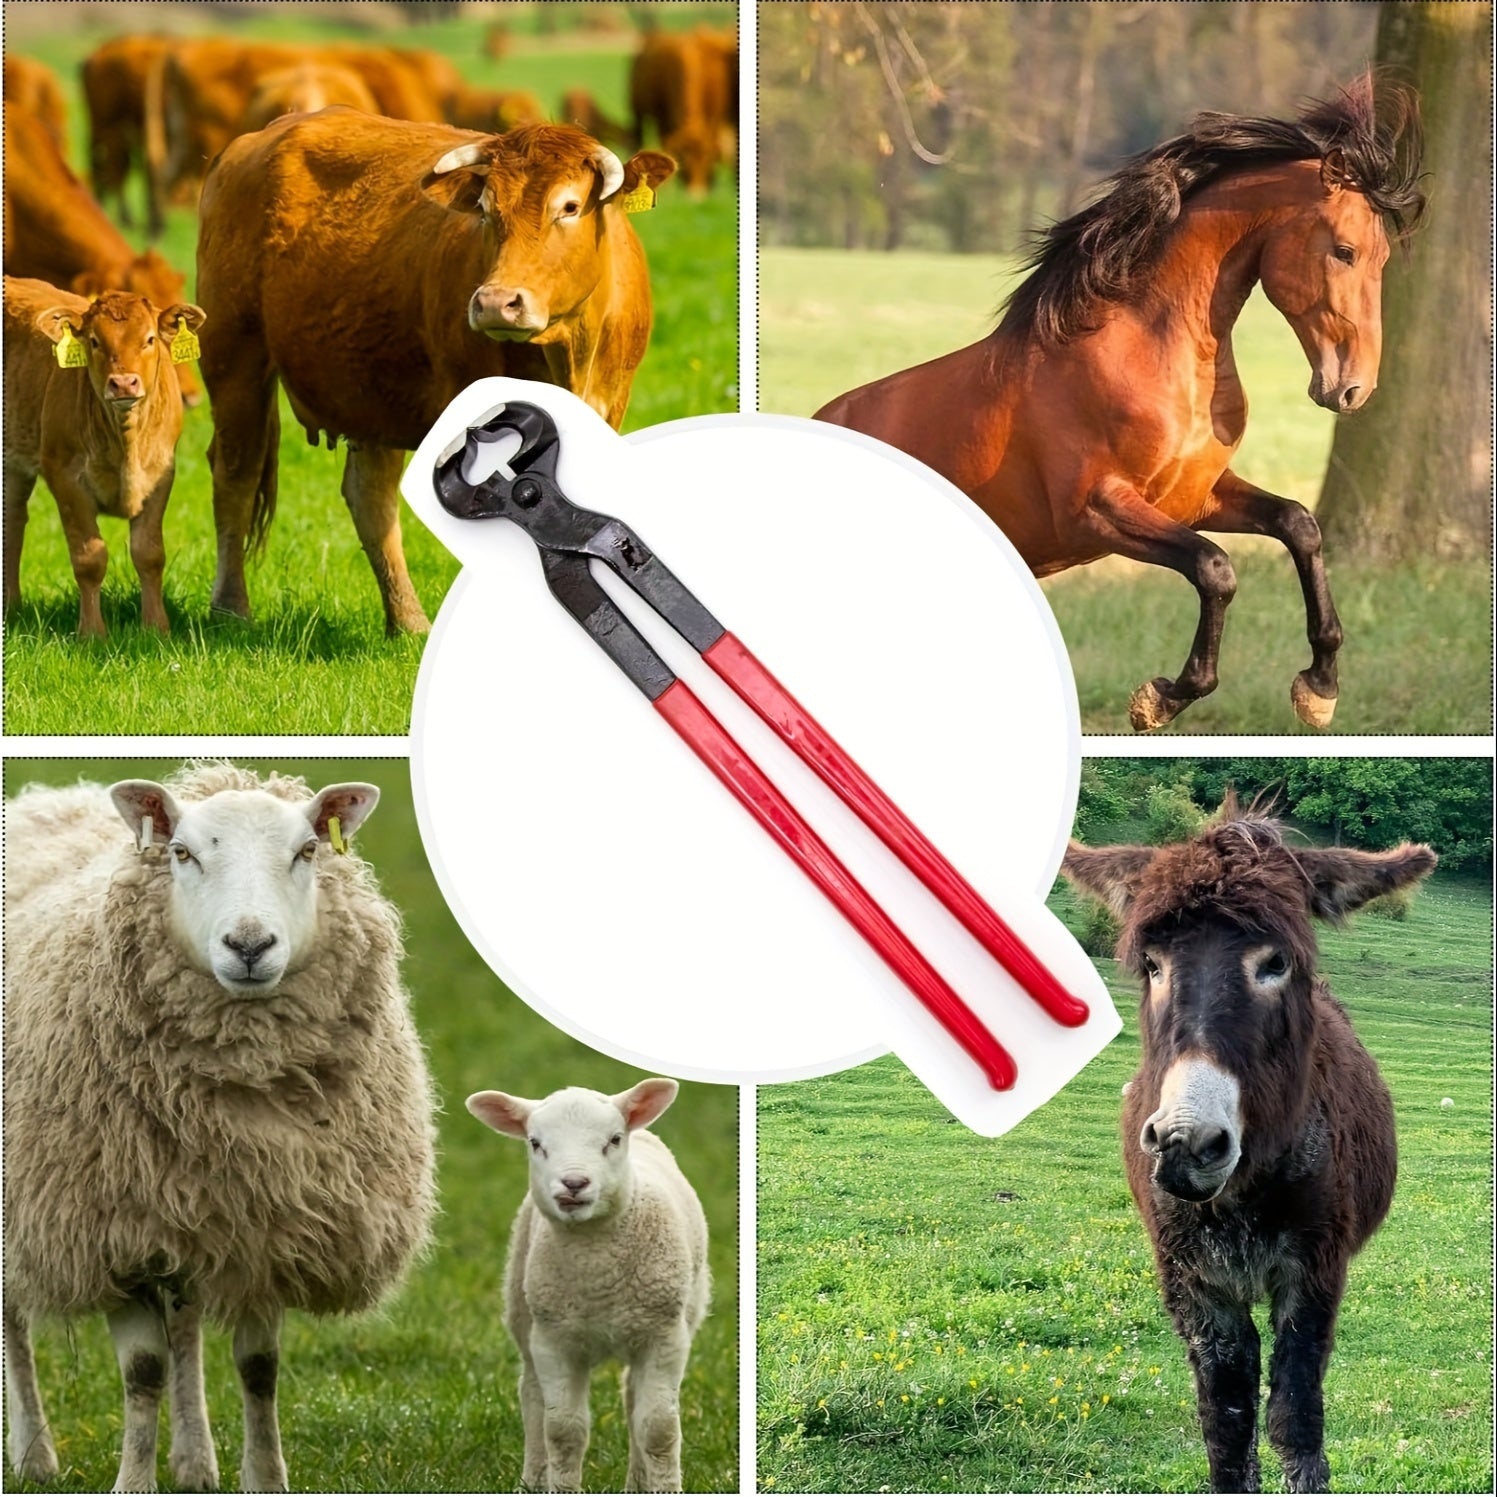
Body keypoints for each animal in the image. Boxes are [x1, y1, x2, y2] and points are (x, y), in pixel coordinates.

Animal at [816, 78, 1424, 732]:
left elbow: (1298, 525)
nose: (1353, 388)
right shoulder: (1097, 510)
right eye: (1344, 251)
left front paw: (1319, 687)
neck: (1145, 351)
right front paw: (1162, 698)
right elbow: (1215, 568)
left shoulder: (1195, 497)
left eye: (1383, 258)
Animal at [1063, 798, 1436, 1492]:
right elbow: (1228, 1427)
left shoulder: (1313, 1272)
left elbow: (1295, 1418)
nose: (1185, 1143)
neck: (1242, 1195)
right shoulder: (1196, 1286)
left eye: (1276, 963)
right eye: (1152, 966)